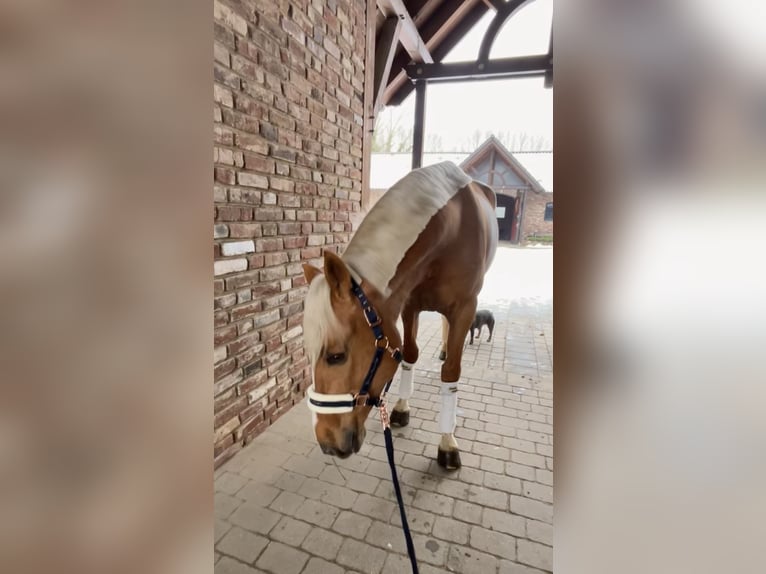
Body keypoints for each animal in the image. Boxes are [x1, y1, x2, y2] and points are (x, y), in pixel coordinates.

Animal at [301, 161, 498, 469]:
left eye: (336, 356)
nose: (328, 442)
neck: (450, 233)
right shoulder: (408, 305)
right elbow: (410, 354)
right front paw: (402, 409)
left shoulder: (465, 308)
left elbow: (451, 372)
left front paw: (448, 443)